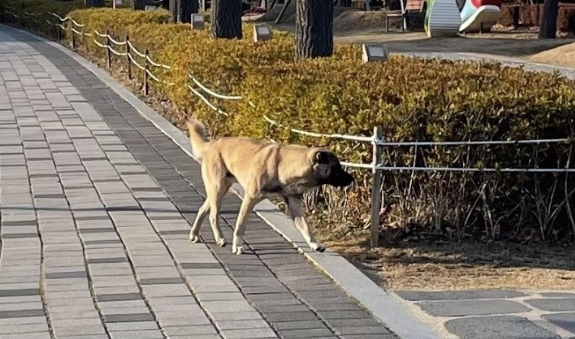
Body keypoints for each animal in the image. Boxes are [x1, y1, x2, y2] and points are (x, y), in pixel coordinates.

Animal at [187, 117, 354, 255]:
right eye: (336, 167)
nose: (352, 178)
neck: (283, 165)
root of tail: (213, 144)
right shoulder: (249, 199)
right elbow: (240, 225)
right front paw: (237, 245)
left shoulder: (293, 202)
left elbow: (305, 226)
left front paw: (314, 244)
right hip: (218, 188)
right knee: (213, 215)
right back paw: (220, 238)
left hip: (219, 189)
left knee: (202, 210)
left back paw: (194, 234)